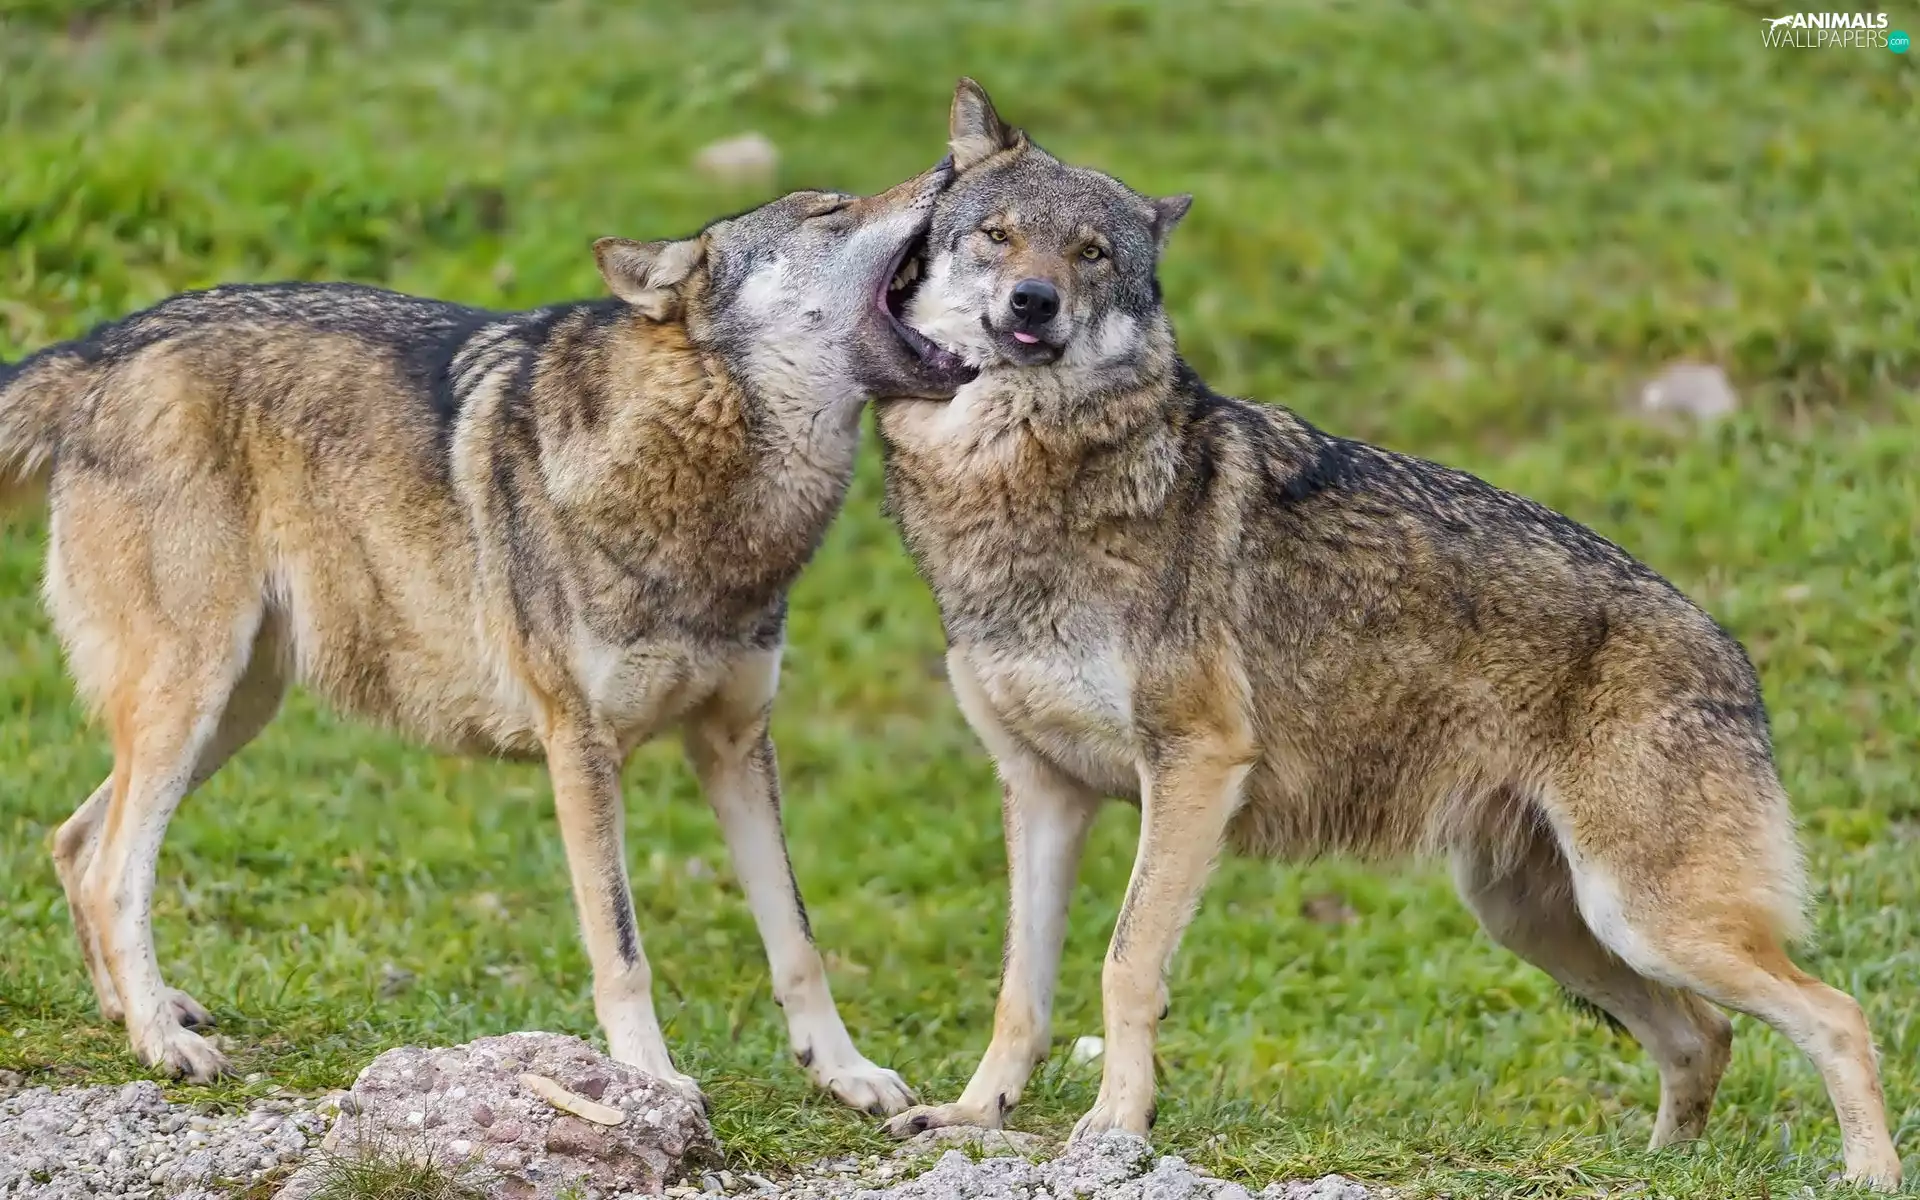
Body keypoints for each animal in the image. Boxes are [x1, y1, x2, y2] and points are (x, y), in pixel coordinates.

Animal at [0, 162, 972, 1110]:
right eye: (830, 212)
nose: (949, 166)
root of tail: (106, 345)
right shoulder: (580, 748)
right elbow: (622, 947)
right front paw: (650, 1079)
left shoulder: (735, 742)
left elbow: (798, 941)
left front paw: (846, 1072)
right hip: (193, 701)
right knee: (115, 870)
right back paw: (163, 1044)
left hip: (235, 711)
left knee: (74, 842)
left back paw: (141, 1013)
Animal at [871, 81, 1900, 1187]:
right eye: (999, 236)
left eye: (1092, 253)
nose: (1034, 302)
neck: (1018, 483)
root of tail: (1737, 655)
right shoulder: (1042, 790)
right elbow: (1020, 989)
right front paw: (971, 1112)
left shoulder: (1193, 765)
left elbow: (1126, 963)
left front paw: (1116, 1128)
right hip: (1543, 919)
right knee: (1703, 1036)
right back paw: (1657, 1174)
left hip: (1643, 918)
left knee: (1836, 1014)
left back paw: (1870, 1174)